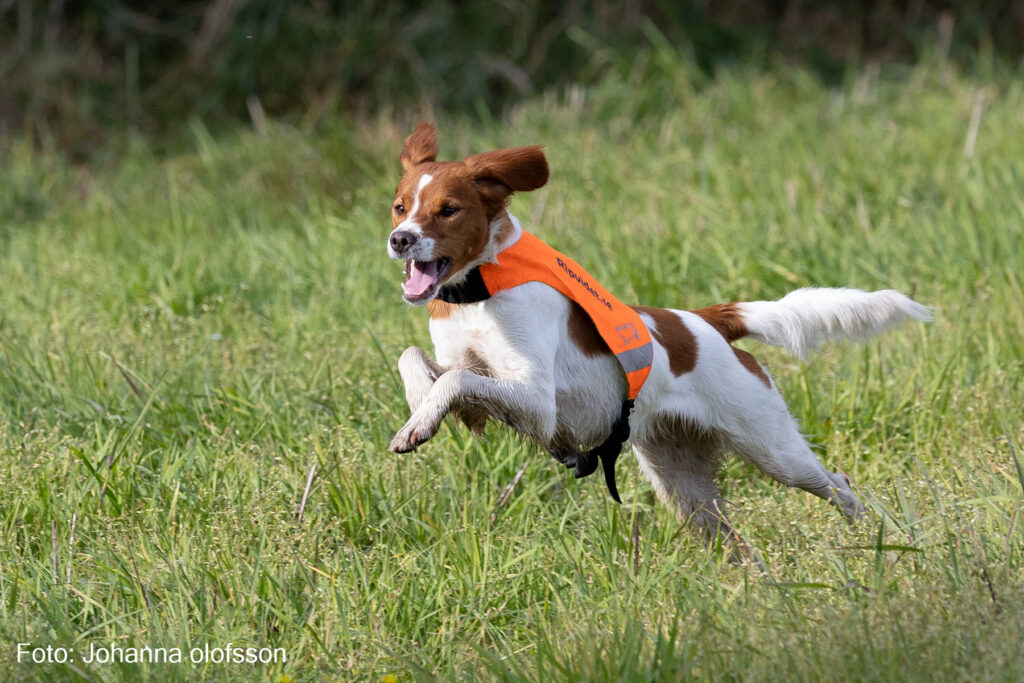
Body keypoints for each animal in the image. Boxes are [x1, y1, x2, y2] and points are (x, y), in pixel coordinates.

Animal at [385, 121, 929, 540]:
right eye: (400, 206)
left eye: (448, 209)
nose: (399, 239)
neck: (479, 291)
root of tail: (709, 320)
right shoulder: (470, 372)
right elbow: (419, 360)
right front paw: (420, 406)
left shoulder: (538, 401)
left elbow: (457, 379)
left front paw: (417, 423)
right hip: (684, 487)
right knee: (734, 542)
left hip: (772, 448)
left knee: (838, 483)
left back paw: (874, 539)